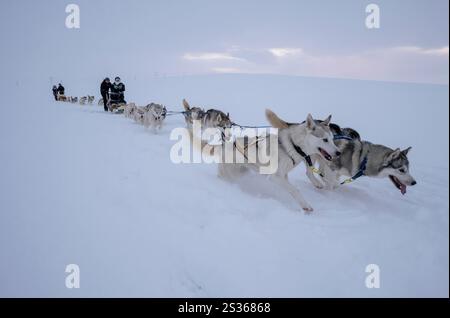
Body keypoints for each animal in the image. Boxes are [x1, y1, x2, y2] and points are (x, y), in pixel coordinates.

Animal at [268, 113, 418, 195]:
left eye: (408, 169)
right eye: (402, 170)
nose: (414, 182)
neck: (365, 158)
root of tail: (304, 122)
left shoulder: (333, 169)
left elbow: (333, 181)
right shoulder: (331, 167)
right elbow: (330, 182)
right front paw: (328, 190)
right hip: (315, 155)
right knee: (309, 172)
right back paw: (318, 183)